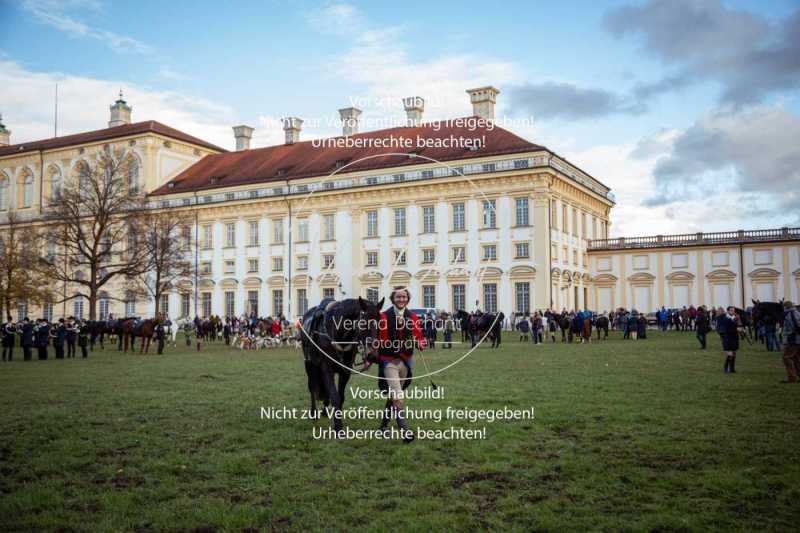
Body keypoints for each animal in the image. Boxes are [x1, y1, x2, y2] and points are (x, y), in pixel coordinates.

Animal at [304, 296, 384, 432]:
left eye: (380, 323)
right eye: (364, 323)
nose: (373, 355)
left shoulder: (345, 371)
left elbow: (340, 397)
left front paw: (337, 419)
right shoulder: (326, 368)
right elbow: (335, 396)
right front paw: (338, 427)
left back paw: (325, 410)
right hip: (310, 365)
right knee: (312, 386)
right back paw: (313, 413)